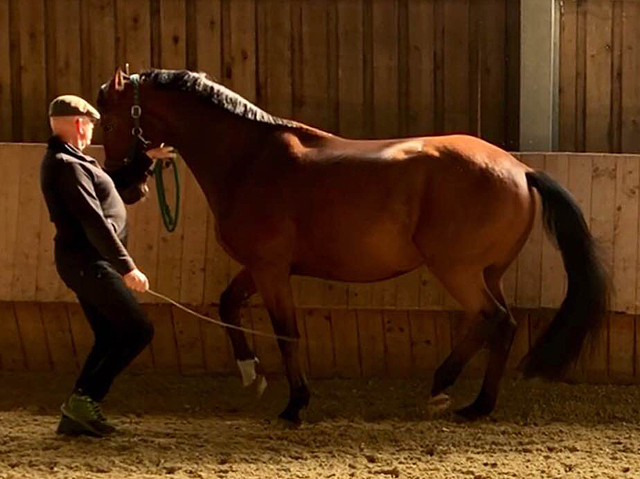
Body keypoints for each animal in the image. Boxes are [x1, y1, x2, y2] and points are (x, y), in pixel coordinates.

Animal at [96, 67, 608, 424]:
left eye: (112, 123)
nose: (127, 186)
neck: (249, 159)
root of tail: (520, 169)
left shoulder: (270, 269)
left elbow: (286, 333)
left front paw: (295, 404)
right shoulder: (263, 267)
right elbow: (227, 305)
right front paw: (250, 373)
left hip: (458, 270)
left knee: (492, 319)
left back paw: (444, 389)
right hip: (488, 272)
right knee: (504, 325)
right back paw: (478, 404)